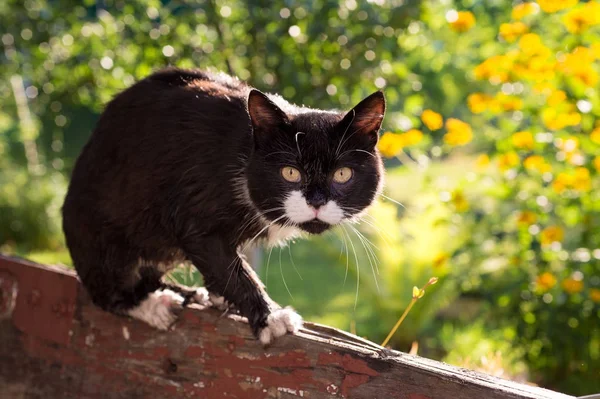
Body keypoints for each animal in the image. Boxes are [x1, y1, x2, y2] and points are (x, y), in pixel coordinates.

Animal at [62, 67, 384, 346]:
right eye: (290, 172)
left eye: (342, 174)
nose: (316, 201)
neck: (243, 151)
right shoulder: (194, 200)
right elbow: (229, 267)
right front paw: (270, 317)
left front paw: (221, 296)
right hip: (101, 230)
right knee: (106, 289)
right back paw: (153, 303)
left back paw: (186, 293)